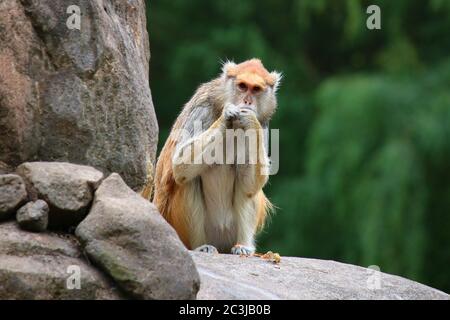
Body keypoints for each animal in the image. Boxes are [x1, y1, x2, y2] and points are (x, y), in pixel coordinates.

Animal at [151, 58, 282, 255]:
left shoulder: (263, 125)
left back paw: (243, 246)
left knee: (247, 188)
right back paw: (200, 246)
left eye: (256, 89)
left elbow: (249, 185)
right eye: (242, 86)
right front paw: (227, 114)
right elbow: (180, 164)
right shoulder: (202, 105)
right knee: (188, 180)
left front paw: (249, 118)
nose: (247, 101)